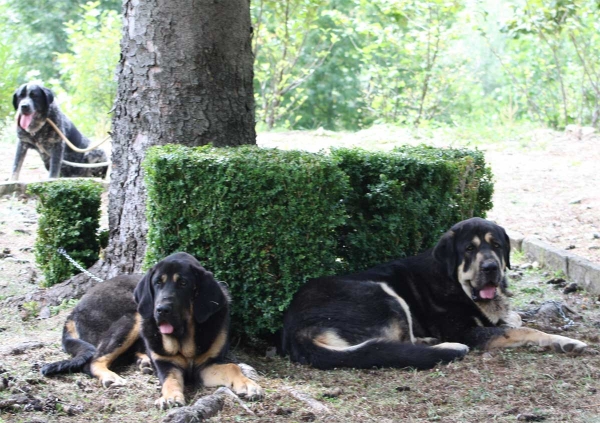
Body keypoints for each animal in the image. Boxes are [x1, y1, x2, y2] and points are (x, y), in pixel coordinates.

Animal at [39, 253, 260, 410]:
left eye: (183, 283)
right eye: (157, 283)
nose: (161, 309)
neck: (184, 339)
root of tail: (74, 311)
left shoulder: (207, 366)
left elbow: (232, 367)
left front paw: (248, 384)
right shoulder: (166, 364)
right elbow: (170, 381)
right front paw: (170, 397)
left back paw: (143, 361)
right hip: (134, 316)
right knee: (93, 361)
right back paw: (112, 376)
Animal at [280, 219, 584, 372]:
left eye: (497, 246)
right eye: (469, 249)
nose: (491, 268)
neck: (455, 282)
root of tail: (296, 330)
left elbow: (515, 320)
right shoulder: (467, 332)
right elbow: (524, 330)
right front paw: (564, 341)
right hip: (383, 293)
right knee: (396, 345)